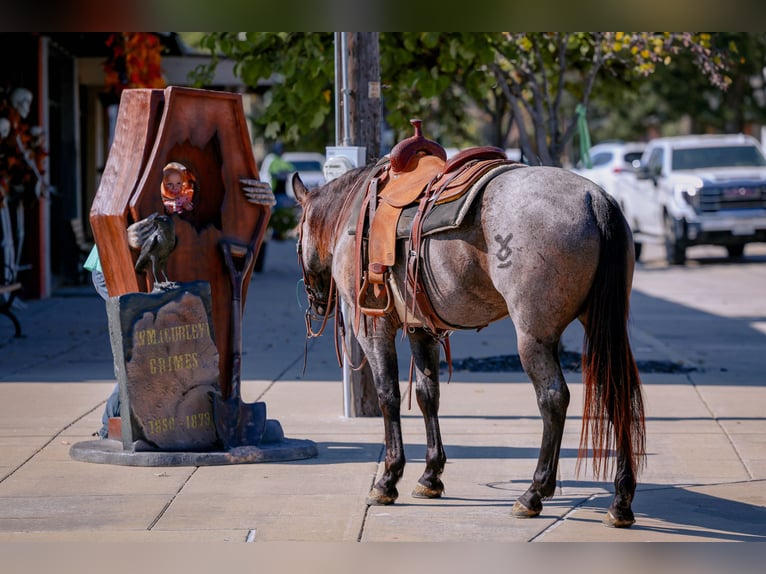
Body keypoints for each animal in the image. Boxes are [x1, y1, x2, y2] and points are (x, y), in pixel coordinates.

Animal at [292, 156, 646, 528]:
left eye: (297, 237)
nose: (317, 304)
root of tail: (595, 199)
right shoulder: (421, 329)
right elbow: (427, 396)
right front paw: (430, 476)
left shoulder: (374, 326)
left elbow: (388, 396)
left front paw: (388, 480)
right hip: (600, 324)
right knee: (616, 393)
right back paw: (621, 500)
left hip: (533, 335)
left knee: (553, 399)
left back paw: (533, 493)